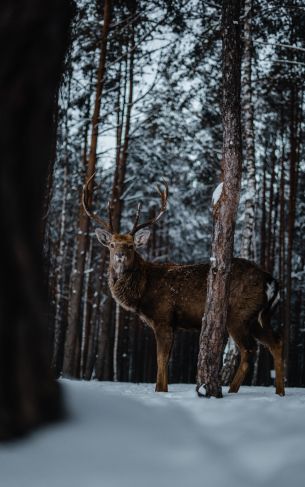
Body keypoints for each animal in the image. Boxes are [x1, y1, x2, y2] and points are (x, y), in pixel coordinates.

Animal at [82, 175, 284, 396]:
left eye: (131, 245)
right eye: (112, 244)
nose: (119, 255)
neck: (143, 292)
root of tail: (271, 280)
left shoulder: (163, 317)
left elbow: (161, 359)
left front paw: (160, 391)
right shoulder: (173, 323)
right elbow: (166, 360)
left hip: (239, 314)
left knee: (249, 349)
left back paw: (232, 390)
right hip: (257, 315)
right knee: (276, 341)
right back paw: (278, 391)